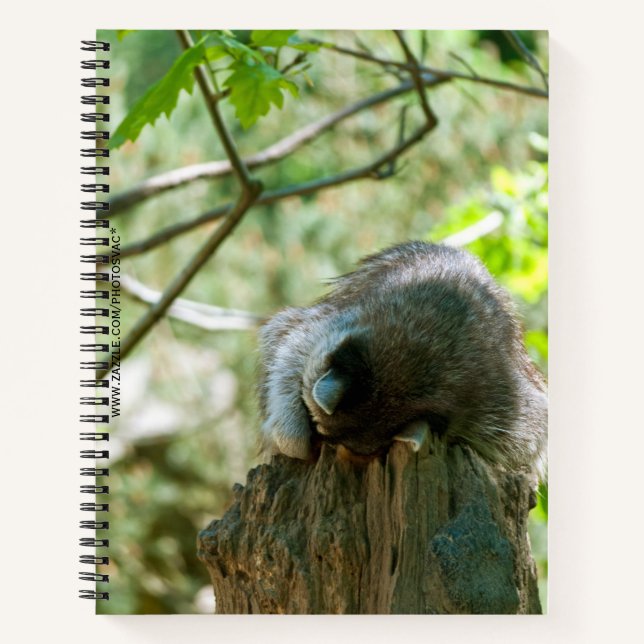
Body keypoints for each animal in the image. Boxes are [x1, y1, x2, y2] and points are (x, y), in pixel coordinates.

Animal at [257, 241, 547, 479]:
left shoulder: (504, 401)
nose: (319, 444)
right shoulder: (338, 318)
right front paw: (290, 429)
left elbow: (529, 444)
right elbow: (288, 341)